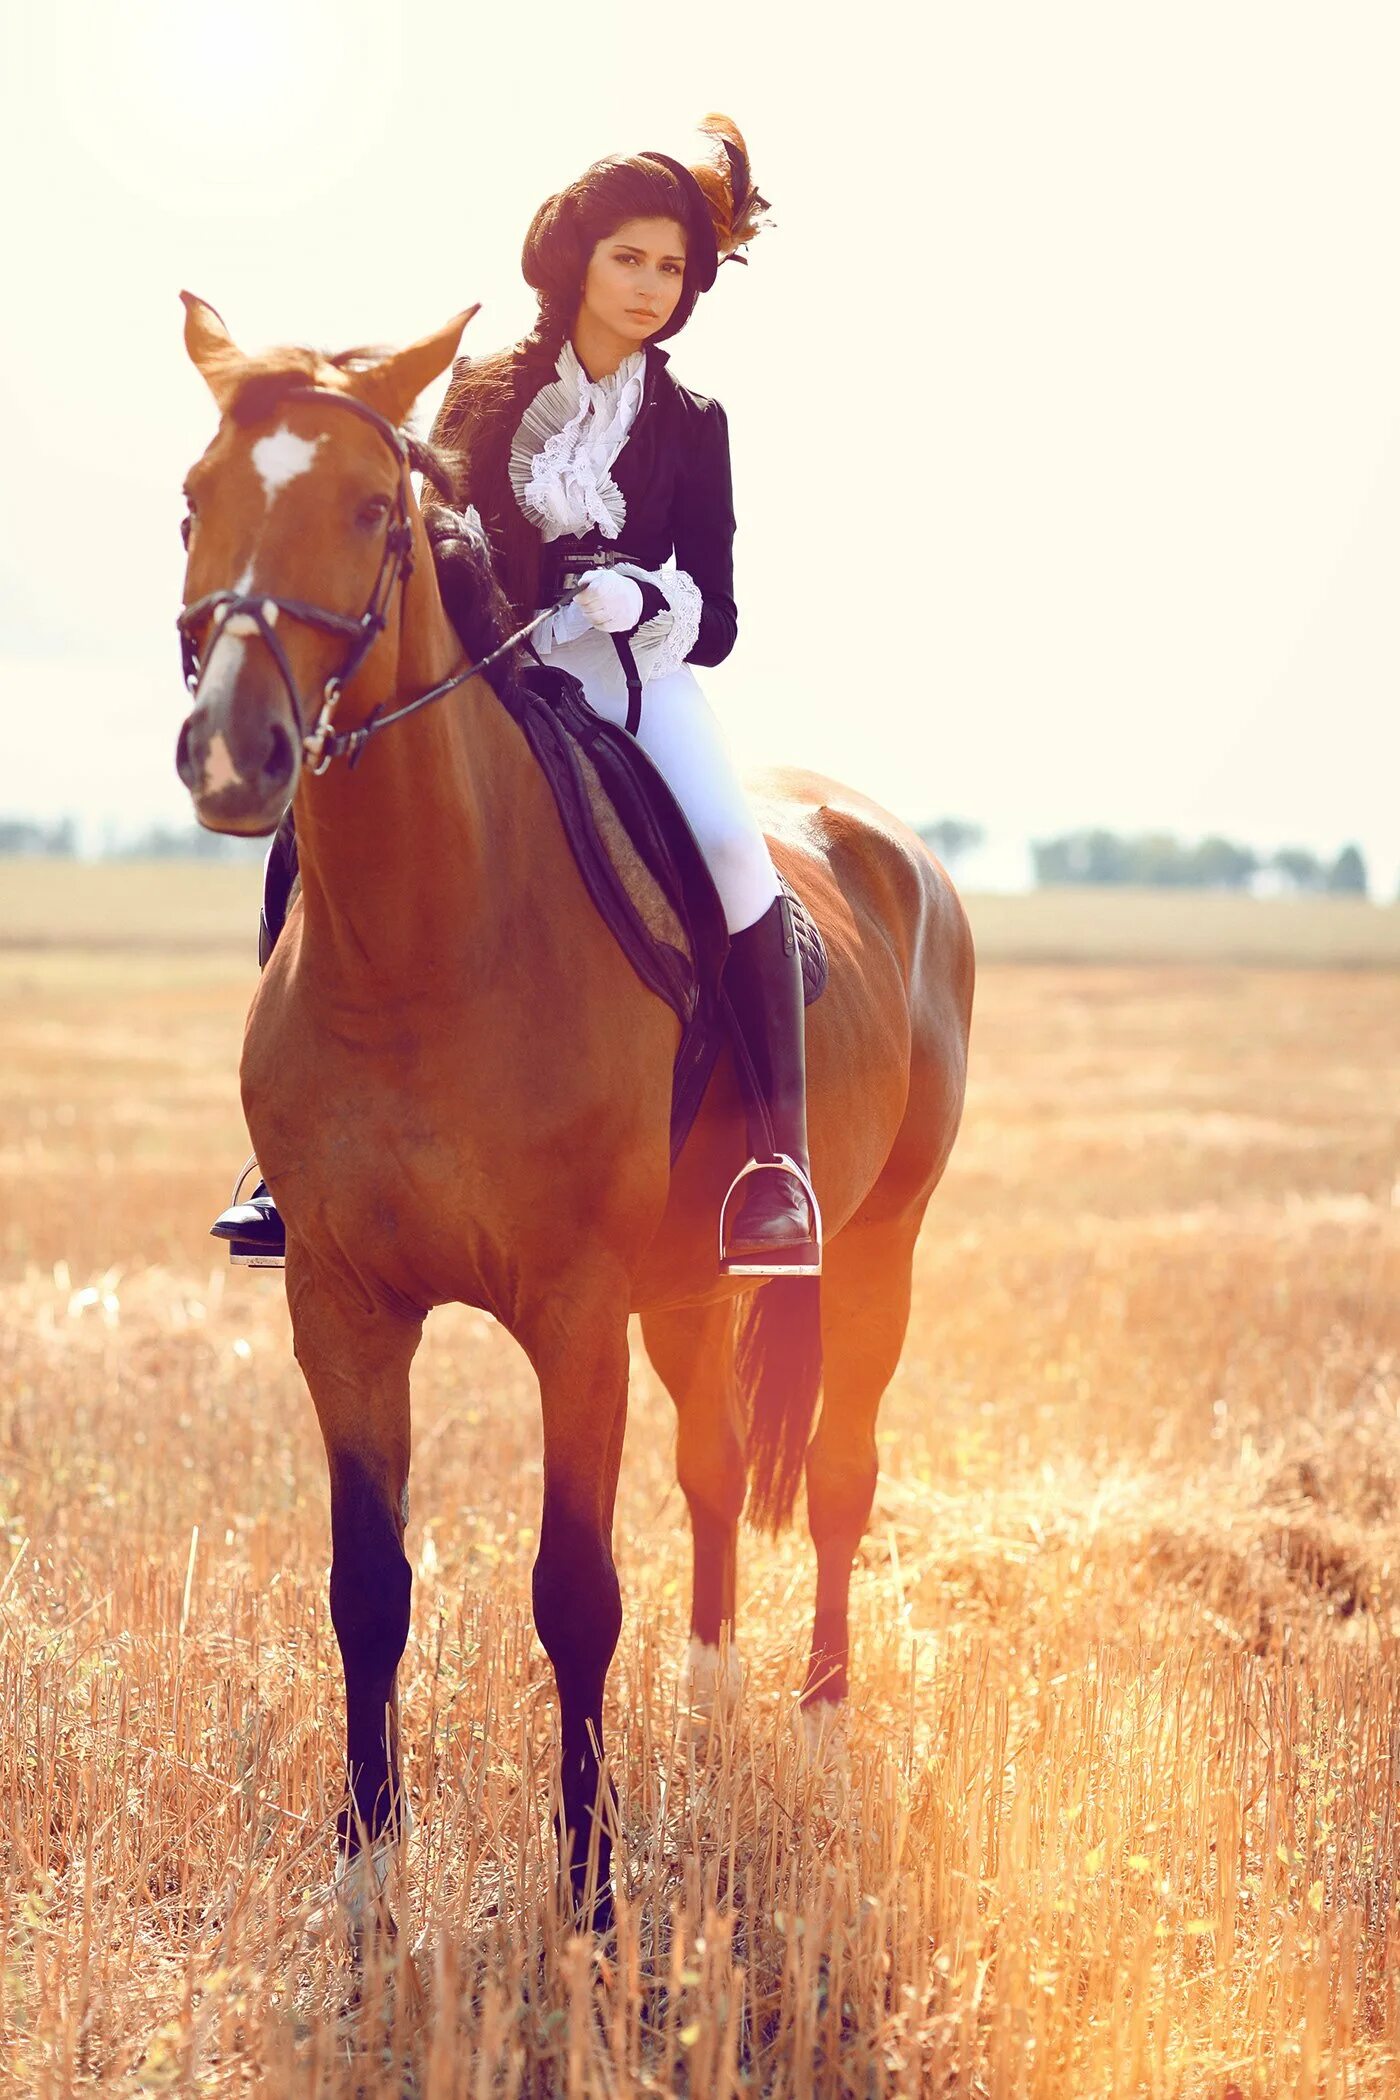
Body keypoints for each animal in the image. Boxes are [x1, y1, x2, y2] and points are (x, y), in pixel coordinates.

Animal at [172, 291, 973, 1923]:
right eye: (191, 502)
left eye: (371, 510)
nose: (233, 752)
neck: (424, 944)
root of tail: (893, 846)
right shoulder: (341, 1307)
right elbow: (368, 1589)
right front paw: (368, 1882)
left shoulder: (572, 1307)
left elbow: (574, 1590)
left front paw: (592, 1892)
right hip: (688, 1288)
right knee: (717, 1470)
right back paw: (717, 1703)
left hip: (876, 1248)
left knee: (840, 1477)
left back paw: (815, 1734)